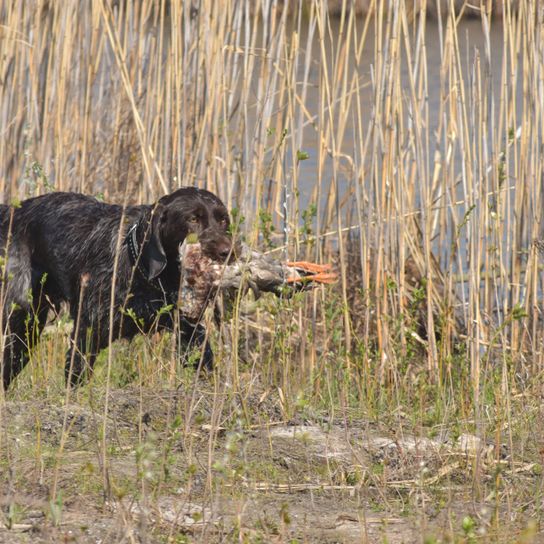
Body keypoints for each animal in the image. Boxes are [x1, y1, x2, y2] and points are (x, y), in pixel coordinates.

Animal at [0, 189, 234, 388]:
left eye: (223, 219)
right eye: (193, 219)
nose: (228, 252)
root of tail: (12, 211)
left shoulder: (185, 326)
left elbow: (203, 356)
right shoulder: (87, 330)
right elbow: (76, 373)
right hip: (18, 317)